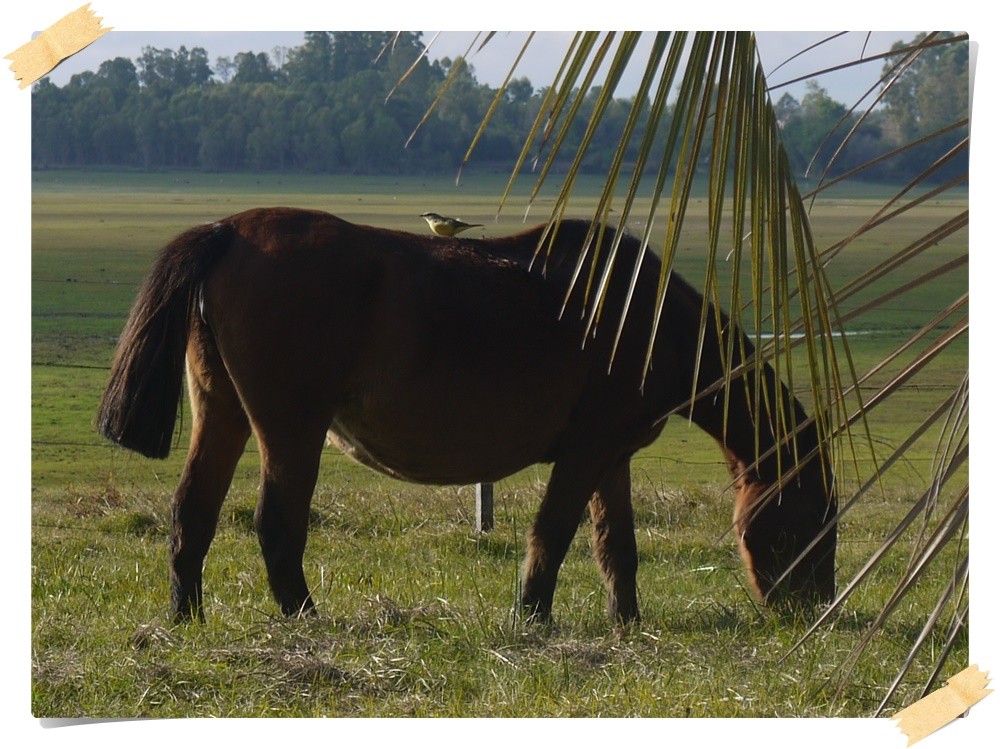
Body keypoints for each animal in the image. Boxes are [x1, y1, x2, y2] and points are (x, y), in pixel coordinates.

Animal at [95, 207, 836, 624]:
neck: (643, 316)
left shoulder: (610, 455)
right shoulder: (584, 453)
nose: (813, 608)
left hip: (221, 413)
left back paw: (187, 615)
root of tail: (228, 232)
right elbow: (553, 533)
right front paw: (533, 617)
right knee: (277, 524)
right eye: (811, 519)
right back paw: (304, 617)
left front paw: (626, 619)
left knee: (193, 511)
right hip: (290, 428)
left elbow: (615, 546)